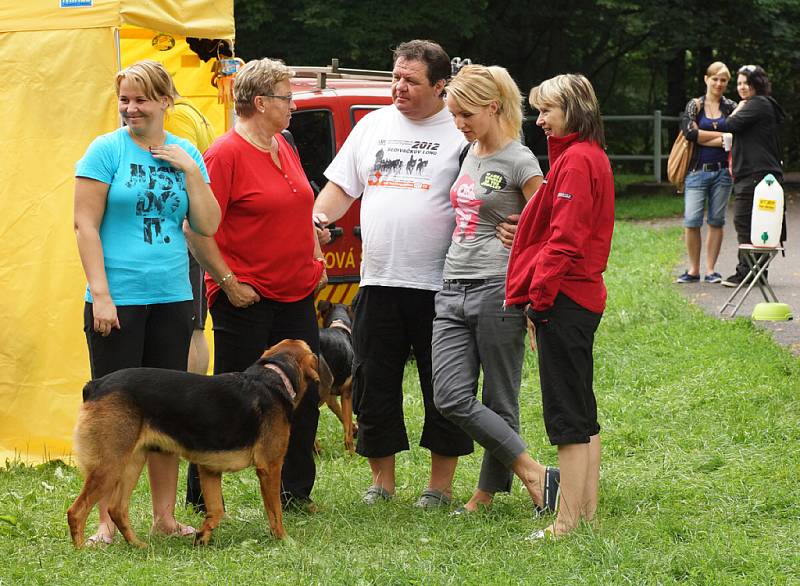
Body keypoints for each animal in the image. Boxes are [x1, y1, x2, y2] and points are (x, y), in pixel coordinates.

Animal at [66, 336, 318, 544]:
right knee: (76, 512)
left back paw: (138, 546)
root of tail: (95, 385)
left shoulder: (209, 469)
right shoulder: (270, 467)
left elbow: (216, 511)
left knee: (116, 509)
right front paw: (284, 540)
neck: (275, 375)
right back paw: (82, 552)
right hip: (109, 466)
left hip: (131, 463)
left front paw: (202, 537)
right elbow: (275, 512)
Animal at [316, 298, 356, 454]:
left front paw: (355, 427)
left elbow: (343, 417)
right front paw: (352, 452)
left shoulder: (331, 398)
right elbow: (347, 429)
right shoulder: (347, 393)